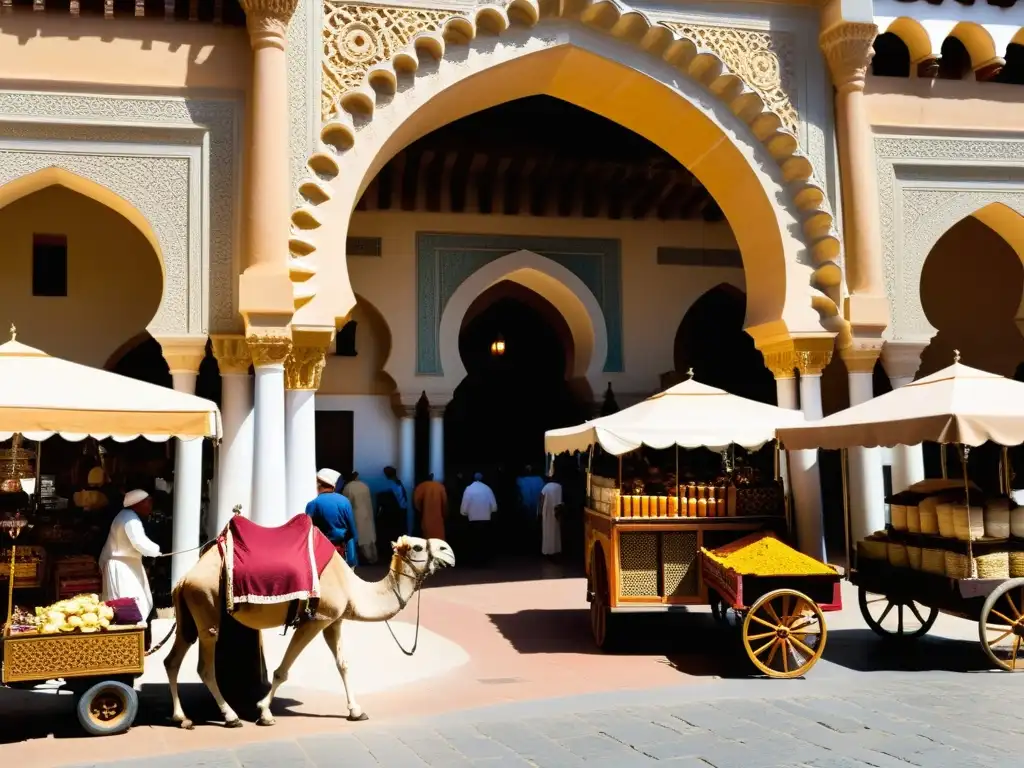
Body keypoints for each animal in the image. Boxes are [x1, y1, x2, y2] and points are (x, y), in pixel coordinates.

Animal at [163, 532, 452, 729]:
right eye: (417, 546)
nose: (449, 551)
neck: (351, 587)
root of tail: (183, 580)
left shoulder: (333, 622)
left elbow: (343, 665)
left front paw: (356, 711)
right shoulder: (315, 620)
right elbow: (282, 671)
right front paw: (264, 712)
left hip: (189, 619)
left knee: (172, 660)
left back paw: (182, 717)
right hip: (207, 608)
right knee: (204, 667)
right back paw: (231, 716)